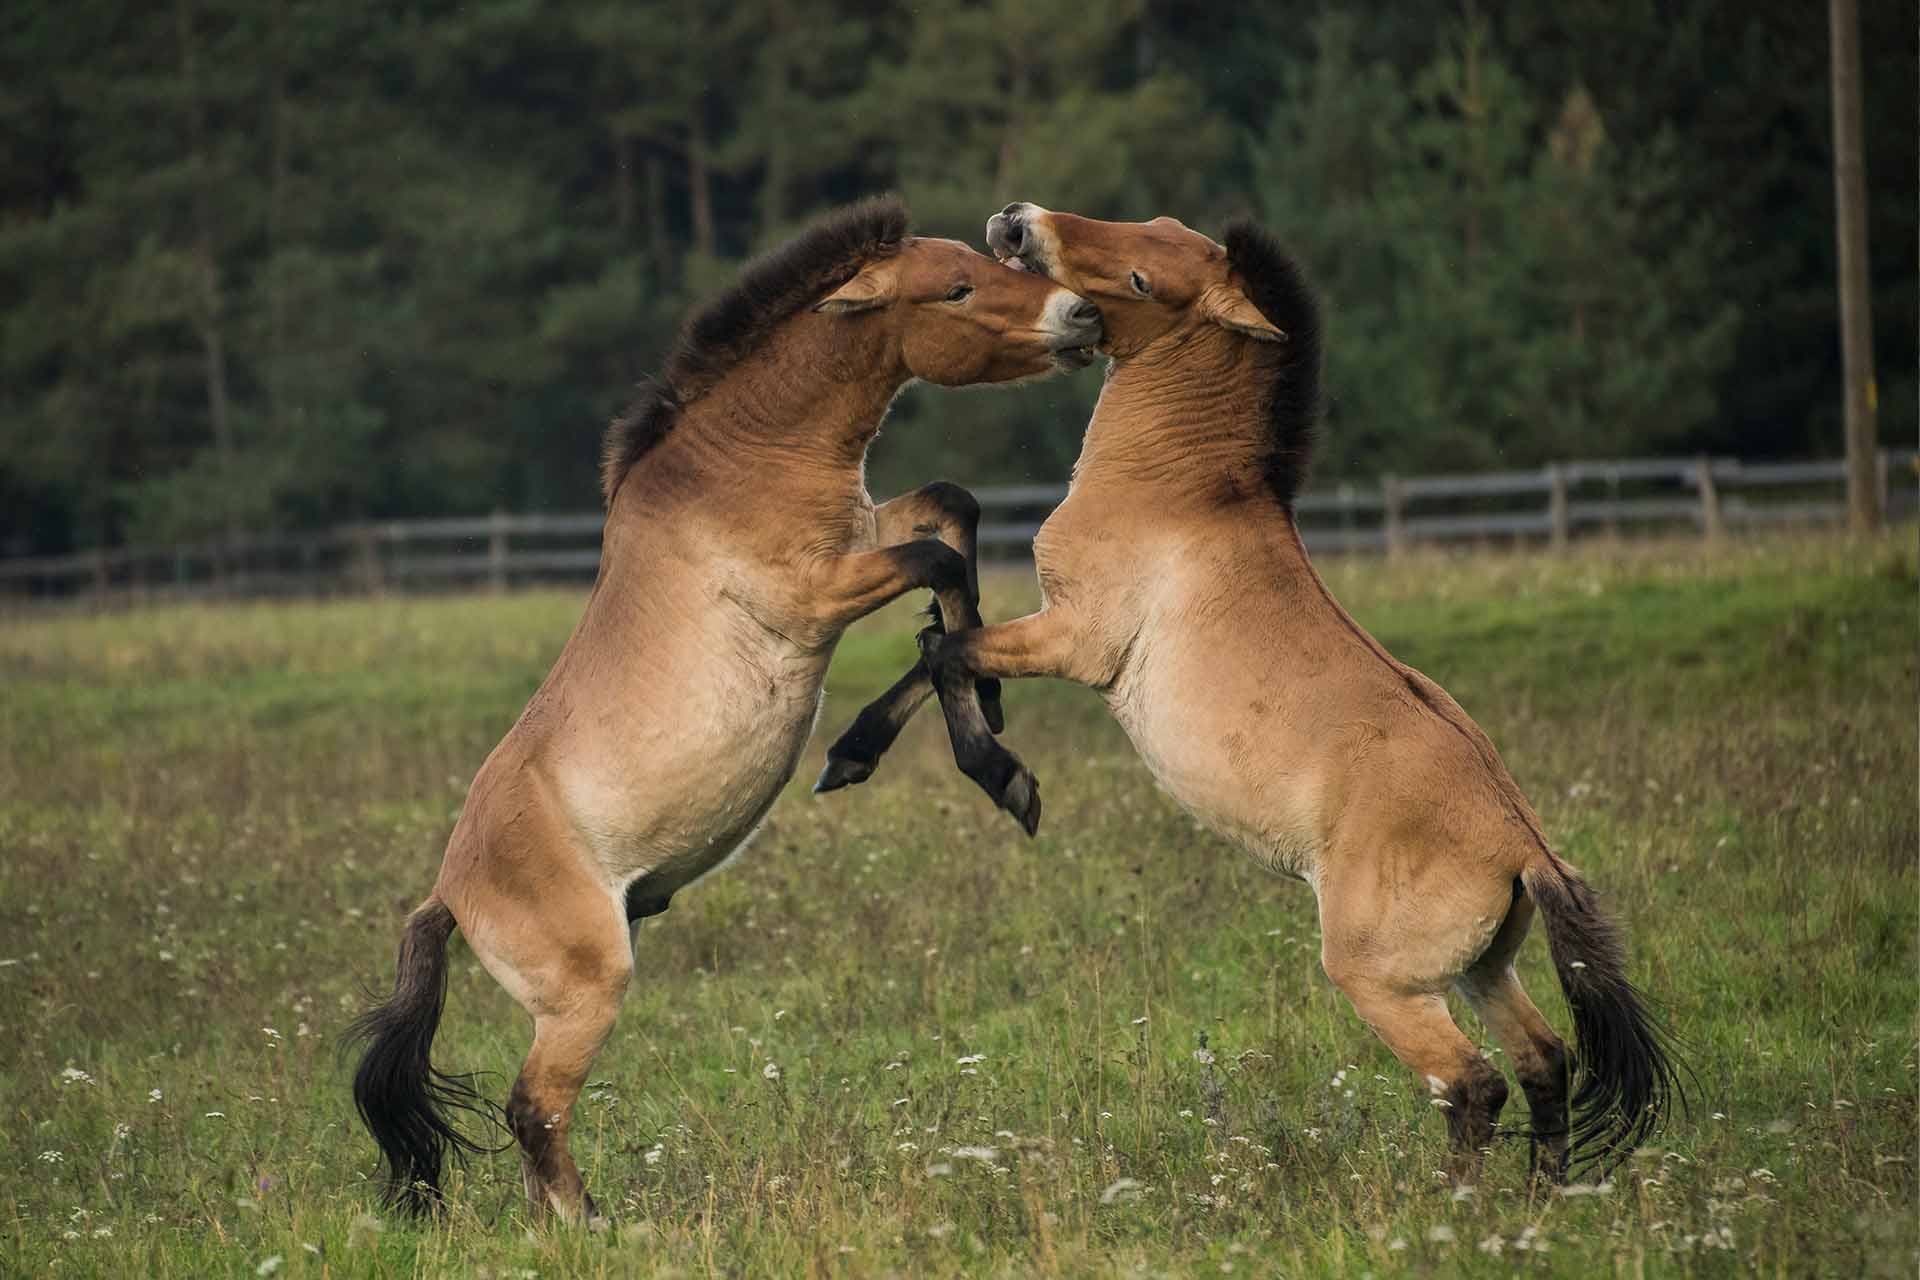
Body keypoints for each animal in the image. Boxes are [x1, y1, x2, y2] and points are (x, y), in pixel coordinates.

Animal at [343, 195, 1098, 1228]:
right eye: (956, 288)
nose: (1082, 317)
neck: (749, 463)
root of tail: (448, 897)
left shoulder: (865, 537)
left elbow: (954, 521)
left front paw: (894, 738)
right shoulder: (818, 596)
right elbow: (942, 574)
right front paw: (991, 754)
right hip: (587, 991)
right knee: (533, 1109)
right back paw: (597, 1229)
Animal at [825, 202, 1681, 1189]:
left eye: (1144, 279)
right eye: (1149, 220)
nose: (1017, 221)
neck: (1178, 490)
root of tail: (1525, 848)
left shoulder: (1074, 640)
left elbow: (943, 652)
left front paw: (995, 775)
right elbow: (940, 650)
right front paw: (867, 752)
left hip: (1382, 982)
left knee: (1474, 1084)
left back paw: (1453, 1208)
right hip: (1482, 971)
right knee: (1545, 1061)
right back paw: (1541, 1199)